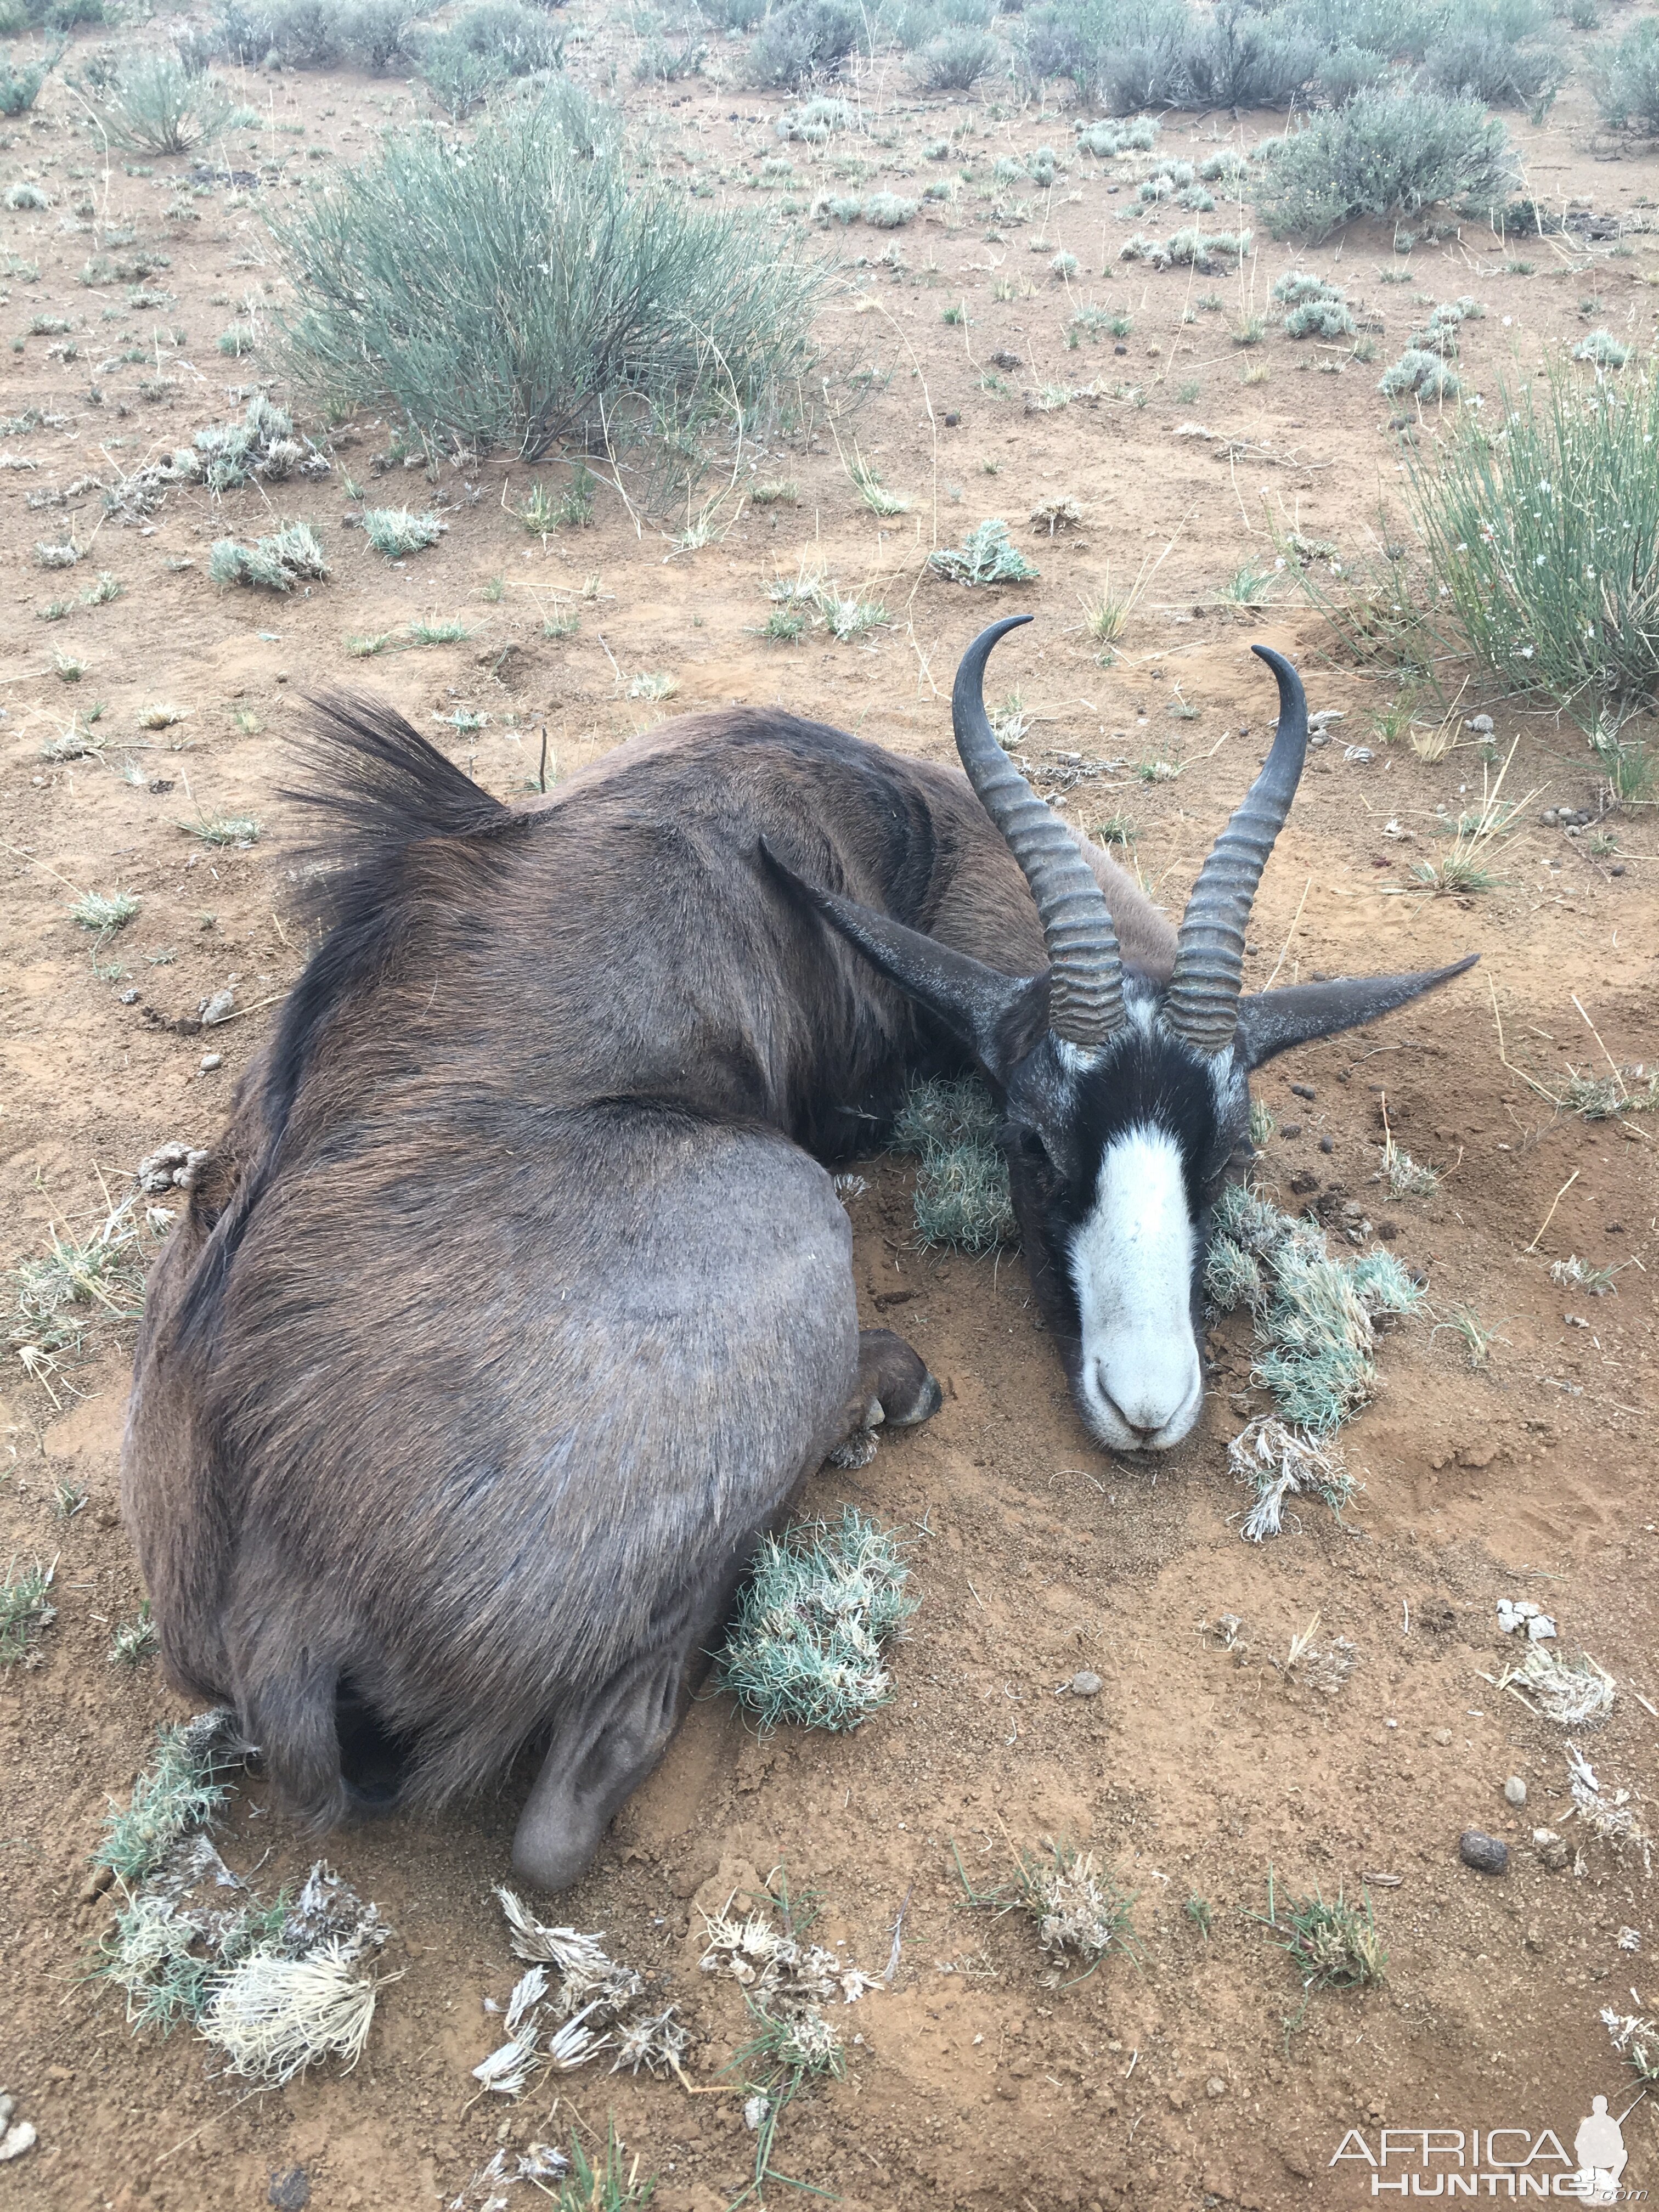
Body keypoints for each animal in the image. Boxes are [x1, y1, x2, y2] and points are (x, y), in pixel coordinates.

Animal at [129, 619, 1477, 1884]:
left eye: (1230, 1148)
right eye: (1031, 1138)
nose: (1144, 1406)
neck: (887, 829)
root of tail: (279, 1629)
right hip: (789, 1216)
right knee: (564, 1816)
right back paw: (880, 1395)